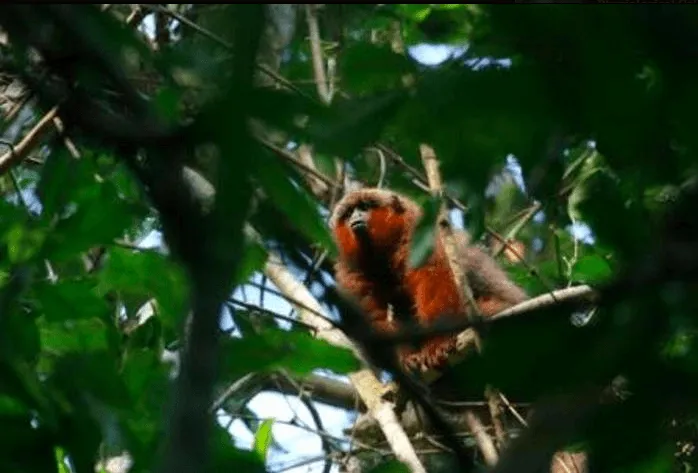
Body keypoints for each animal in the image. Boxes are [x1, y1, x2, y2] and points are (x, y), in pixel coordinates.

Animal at [329, 188, 528, 372]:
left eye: (364, 206)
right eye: (348, 213)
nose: (355, 216)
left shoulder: (426, 240)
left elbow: (439, 280)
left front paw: (437, 343)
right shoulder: (349, 272)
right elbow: (371, 311)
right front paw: (404, 357)